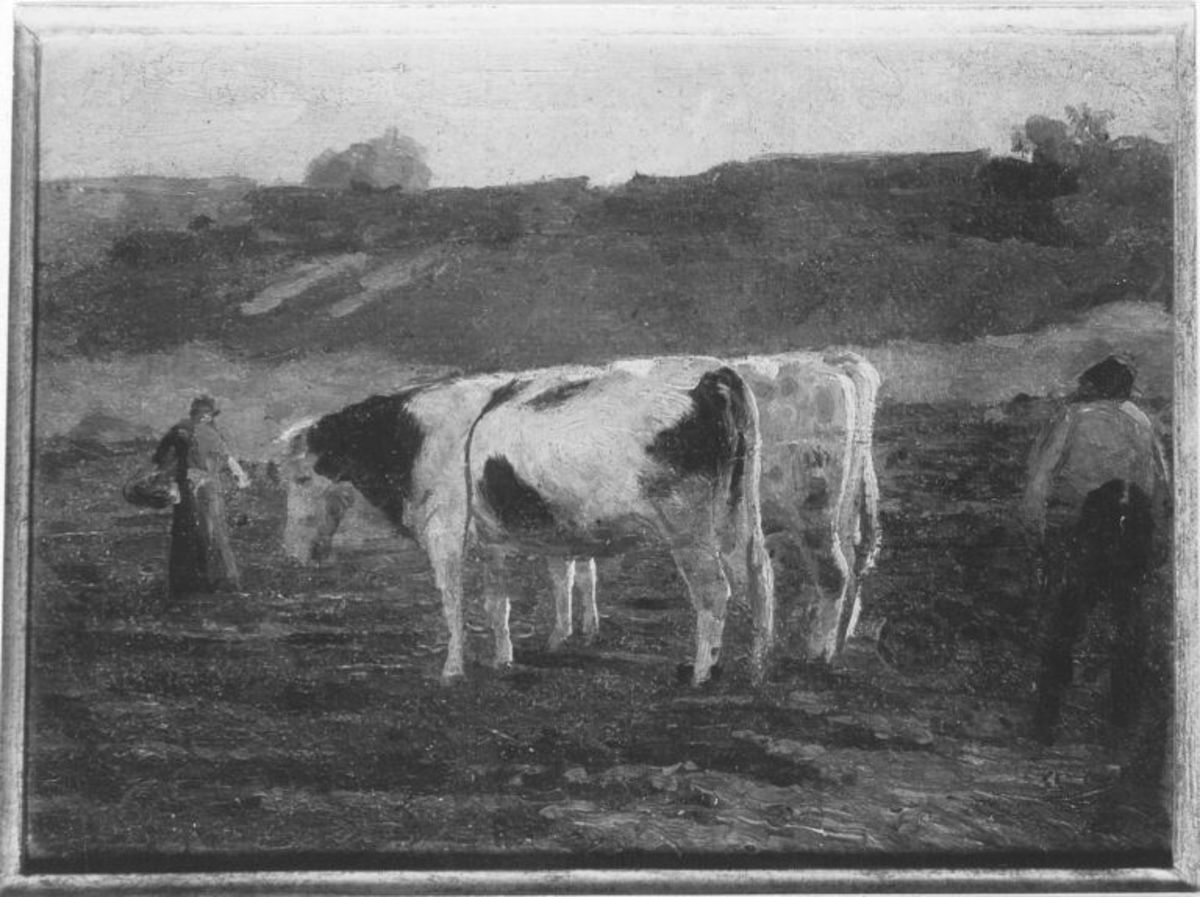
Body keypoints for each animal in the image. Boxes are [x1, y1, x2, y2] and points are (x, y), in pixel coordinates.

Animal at [276, 357, 776, 686]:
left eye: (301, 477)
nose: (296, 552)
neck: (412, 436)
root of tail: (708, 381)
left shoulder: (444, 532)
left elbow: (453, 602)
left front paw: (452, 669)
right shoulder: (491, 540)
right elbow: (499, 603)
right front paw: (504, 659)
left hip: (686, 526)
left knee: (714, 590)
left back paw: (703, 672)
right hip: (737, 514)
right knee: (758, 574)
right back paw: (757, 664)